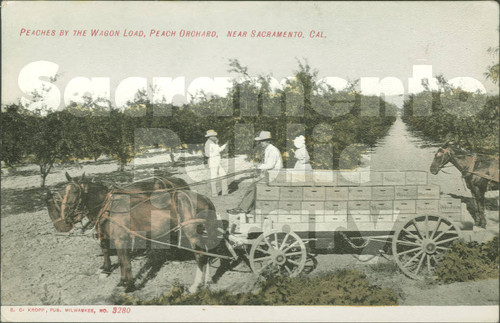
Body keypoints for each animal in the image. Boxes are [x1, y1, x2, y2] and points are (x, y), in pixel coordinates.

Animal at [48, 173, 225, 294]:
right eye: (63, 194)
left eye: (73, 193)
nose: (64, 222)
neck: (110, 207)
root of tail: (204, 199)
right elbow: (120, 260)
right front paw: (121, 281)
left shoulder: (120, 240)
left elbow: (125, 262)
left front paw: (129, 286)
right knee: (206, 253)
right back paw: (205, 281)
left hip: (192, 232)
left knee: (200, 255)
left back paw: (194, 286)